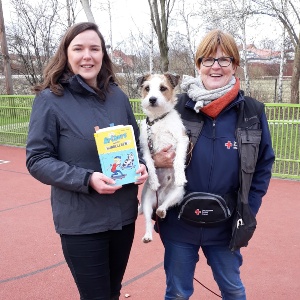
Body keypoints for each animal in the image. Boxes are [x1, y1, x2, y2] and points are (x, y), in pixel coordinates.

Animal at [137, 73, 189, 244]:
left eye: (163, 88)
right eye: (147, 88)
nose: (152, 99)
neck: (158, 119)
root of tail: (160, 198)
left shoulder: (182, 140)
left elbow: (178, 160)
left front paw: (180, 176)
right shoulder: (146, 148)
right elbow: (150, 164)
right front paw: (154, 180)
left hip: (178, 193)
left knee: (165, 206)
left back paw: (161, 210)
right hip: (146, 201)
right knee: (147, 219)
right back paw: (147, 235)